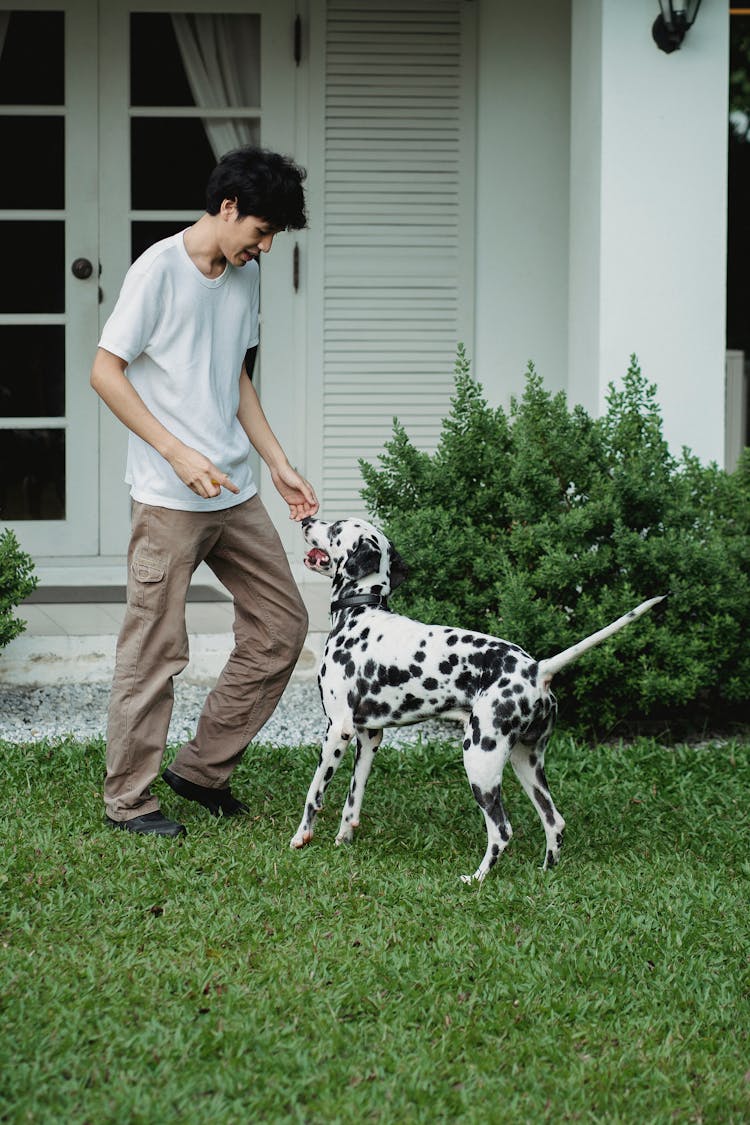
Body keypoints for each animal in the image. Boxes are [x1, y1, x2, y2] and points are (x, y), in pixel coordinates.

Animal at [290, 515, 665, 877]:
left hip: (479, 762)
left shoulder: (337, 730)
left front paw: (301, 837)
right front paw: (344, 839)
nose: (306, 520)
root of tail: (536, 669)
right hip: (525, 764)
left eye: (336, 528)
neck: (361, 613)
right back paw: (545, 873)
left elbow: (314, 793)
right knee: (554, 822)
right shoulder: (369, 736)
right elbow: (353, 800)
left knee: (502, 831)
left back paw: (477, 878)